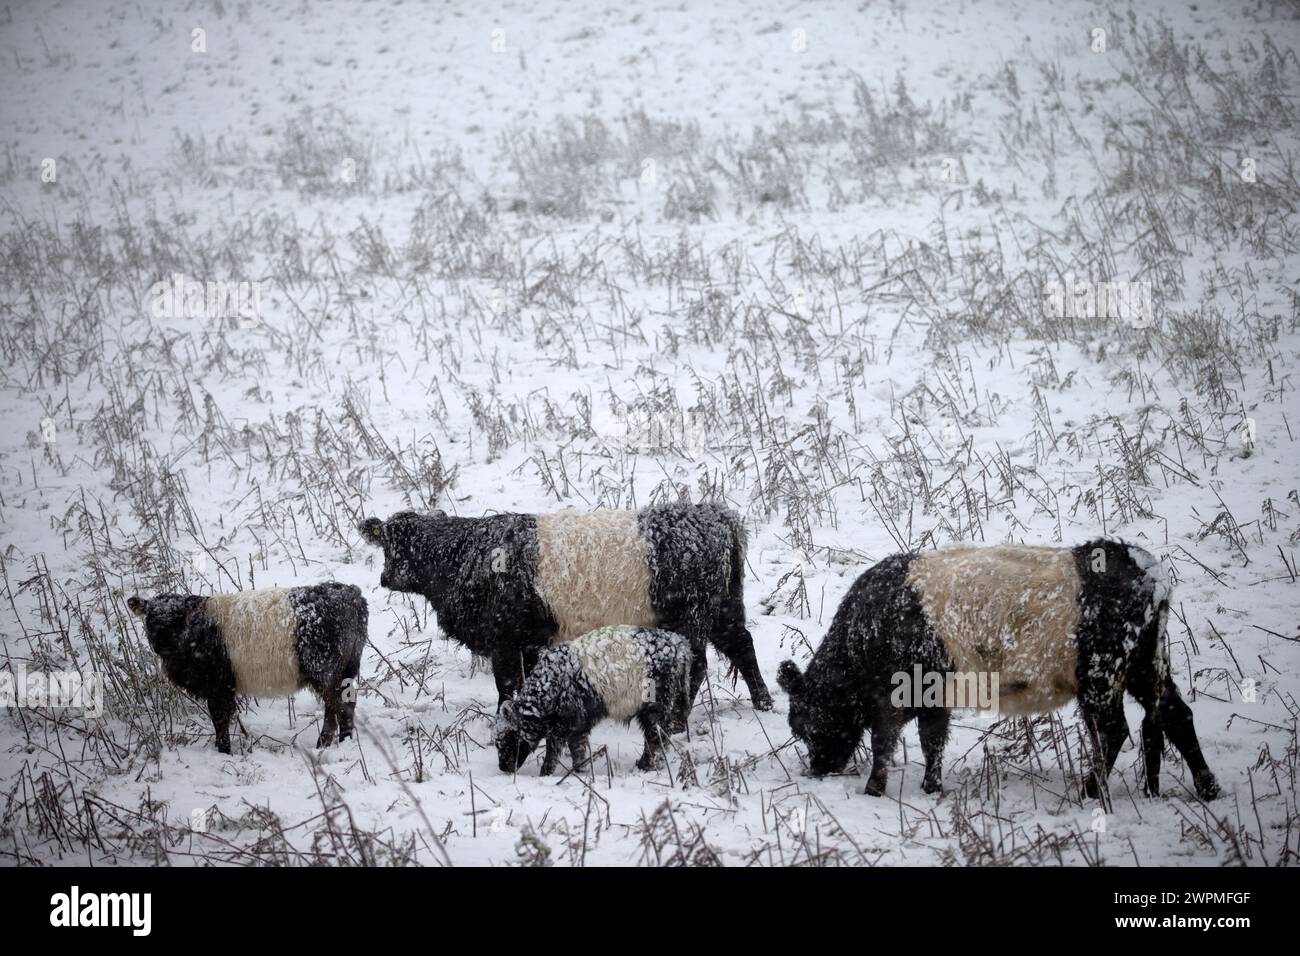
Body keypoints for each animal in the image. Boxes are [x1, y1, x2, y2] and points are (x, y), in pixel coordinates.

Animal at [127, 582, 369, 754]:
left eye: (178, 618)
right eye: (150, 619)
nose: (162, 644)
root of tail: (351, 593)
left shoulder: (218, 686)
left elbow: (220, 719)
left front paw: (224, 751)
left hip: (324, 671)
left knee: (336, 707)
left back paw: (328, 744)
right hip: (346, 670)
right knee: (344, 704)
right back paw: (340, 742)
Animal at [361, 504, 769, 723]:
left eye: (408, 546)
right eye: (387, 541)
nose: (386, 577)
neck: (466, 556)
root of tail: (714, 514)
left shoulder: (504, 640)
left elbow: (506, 685)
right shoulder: (525, 643)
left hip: (690, 618)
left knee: (699, 664)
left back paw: (679, 719)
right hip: (723, 610)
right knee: (743, 645)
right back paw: (763, 702)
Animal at [488, 629, 691, 780]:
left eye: (505, 739)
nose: (503, 767)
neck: (548, 686)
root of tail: (679, 645)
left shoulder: (562, 727)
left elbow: (552, 754)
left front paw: (545, 774)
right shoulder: (579, 724)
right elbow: (578, 749)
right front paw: (580, 771)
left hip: (654, 707)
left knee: (656, 737)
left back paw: (646, 765)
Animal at [780, 541, 1216, 806]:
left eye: (806, 724)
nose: (818, 768)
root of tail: (1146, 569)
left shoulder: (893, 696)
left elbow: (885, 742)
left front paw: (873, 790)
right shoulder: (934, 697)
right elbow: (932, 741)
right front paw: (932, 788)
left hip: (1100, 676)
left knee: (1114, 731)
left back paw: (1090, 790)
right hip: (1143, 666)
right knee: (1177, 714)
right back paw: (1208, 787)